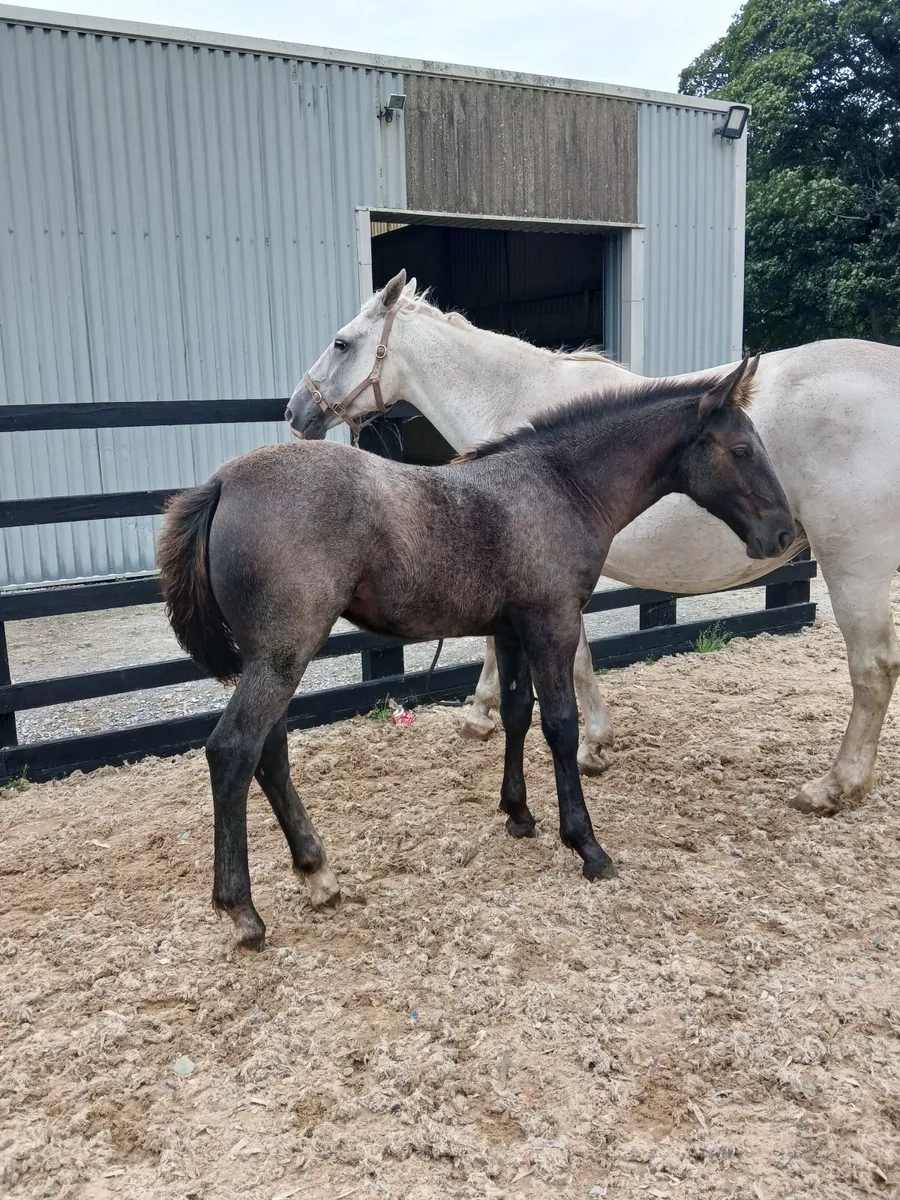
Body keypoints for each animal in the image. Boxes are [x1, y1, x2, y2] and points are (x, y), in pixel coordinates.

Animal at [158, 360, 793, 949]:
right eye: (741, 449)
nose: (784, 534)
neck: (559, 485)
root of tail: (222, 482)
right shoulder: (552, 622)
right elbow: (559, 724)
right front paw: (585, 844)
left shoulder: (511, 630)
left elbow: (516, 714)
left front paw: (518, 814)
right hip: (284, 652)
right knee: (234, 751)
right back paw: (243, 911)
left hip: (271, 655)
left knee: (270, 754)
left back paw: (318, 874)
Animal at [287, 270, 900, 817]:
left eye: (341, 342)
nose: (296, 411)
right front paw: (492, 716)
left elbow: (573, 659)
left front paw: (584, 743)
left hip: (855, 568)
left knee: (873, 669)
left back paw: (834, 787)